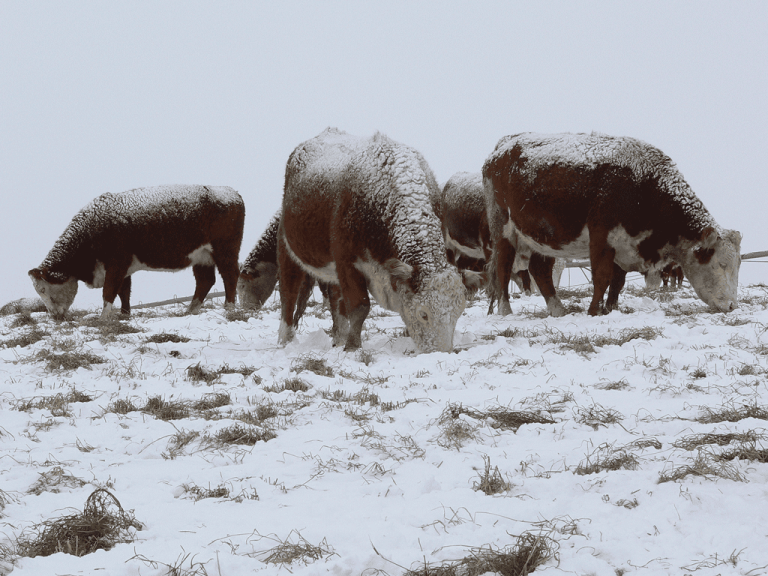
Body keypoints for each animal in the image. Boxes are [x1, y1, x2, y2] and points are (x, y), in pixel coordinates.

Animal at [29, 185, 245, 319]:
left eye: (42, 289)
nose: (54, 316)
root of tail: (231, 192)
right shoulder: (124, 268)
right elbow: (124, 292)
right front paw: (124, 315)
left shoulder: (116, 264)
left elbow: (109, 292)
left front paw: (103, 318)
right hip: (201, 257)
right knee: (205, 281)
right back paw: (190, 311)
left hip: (225, 251)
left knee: (230, 276)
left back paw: (229, 308)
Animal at [277, 127, 481, 353]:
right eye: (423, 314)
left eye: (458, 313)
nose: (441, 353)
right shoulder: (347, 262)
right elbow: (360, 307)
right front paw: (353, 347)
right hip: (287, 249)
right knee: (288, 293)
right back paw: (285, 340)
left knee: (334, 299)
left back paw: (338, 338)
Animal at [483, 132, 741, 316]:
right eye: (720, 264)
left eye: (737, 265)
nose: (732, 306)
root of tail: (503, 146)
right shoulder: (601, 237)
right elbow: (602, 277)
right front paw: (594, 311)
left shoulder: (623, 244)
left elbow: (618, 281)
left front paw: (610, 308)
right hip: (503, 230)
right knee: (503, 268)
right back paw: (505, 311)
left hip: (542, 237)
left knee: (540, 269)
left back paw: (557, 309)